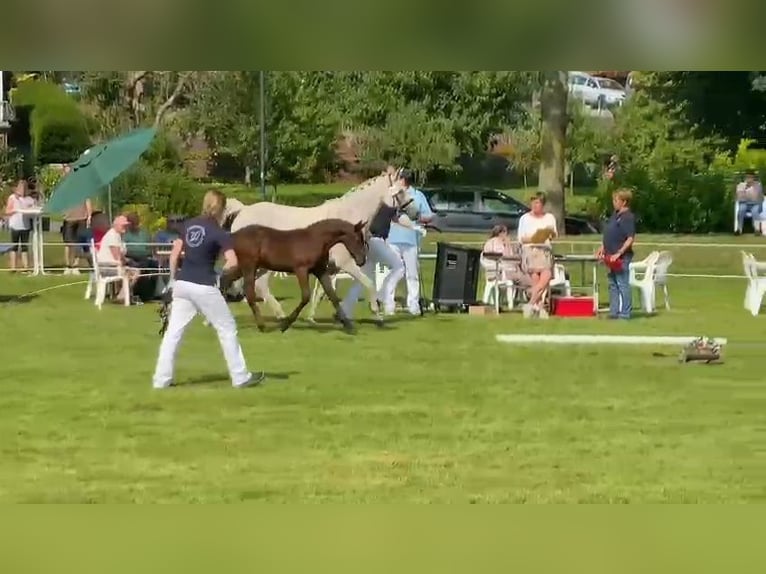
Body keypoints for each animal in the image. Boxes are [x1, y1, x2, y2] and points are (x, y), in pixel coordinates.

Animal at [220, 219, 368, 332]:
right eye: (357, 238)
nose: (362, 260)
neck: (315, 240)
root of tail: (235, 235)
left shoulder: (320, 270)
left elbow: (332, 296)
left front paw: (349, 326)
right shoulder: (301, 270)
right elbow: (306, 296)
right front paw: (285, 325)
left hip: (245, 266)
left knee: (226, 278)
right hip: (249, 266)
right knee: (248, 292)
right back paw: (262, 326)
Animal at [225, 170, 416, 324]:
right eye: (400, 191)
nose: (415, 212)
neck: (346, 220)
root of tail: (242, 211)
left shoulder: (329, 268)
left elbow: (322, 292)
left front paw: (312, 318)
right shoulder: (346, 264)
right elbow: (368, 284)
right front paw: (378, 316)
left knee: (259, 284)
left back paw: (281, 315)